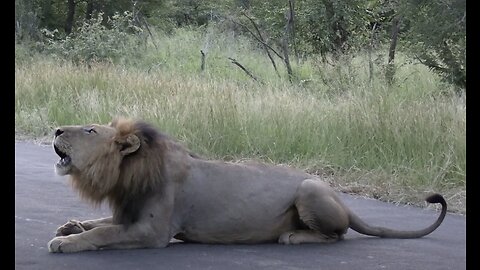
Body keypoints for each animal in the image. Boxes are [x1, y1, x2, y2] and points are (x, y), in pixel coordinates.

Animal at [47, 118, 446, 253]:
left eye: (90, 130)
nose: (56, 129)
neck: (126, 173)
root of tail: (343, 200)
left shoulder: (153, 231)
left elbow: (103, 234)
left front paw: (65, 242)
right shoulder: (128, 215)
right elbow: (100, 224)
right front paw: (70, 226)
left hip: (309, 189)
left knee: (339, 234)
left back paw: (294, 237)